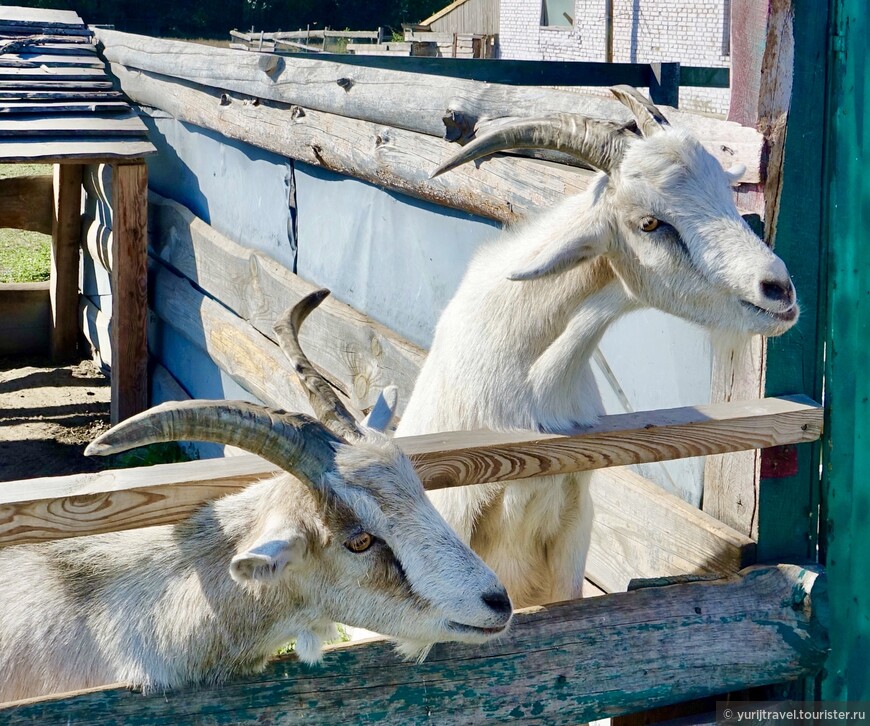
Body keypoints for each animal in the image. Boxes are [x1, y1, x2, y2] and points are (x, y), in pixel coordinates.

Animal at [398, 85, 800, 608]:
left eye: (724, 194)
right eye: (649, 223)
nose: (779, 291)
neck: (531, 390)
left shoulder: (576, 516)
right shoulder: (454, 515)